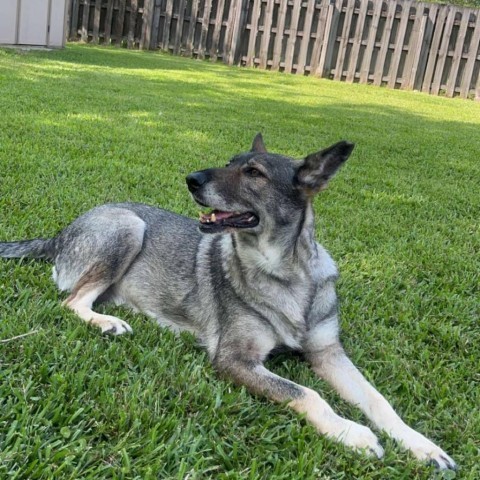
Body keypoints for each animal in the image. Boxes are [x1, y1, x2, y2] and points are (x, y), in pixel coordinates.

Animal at [0, 134, 456, 468]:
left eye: (253, 172)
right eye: (229, 161)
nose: (191, 179)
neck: (285, 273)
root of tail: (61, 233)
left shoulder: (329, 354)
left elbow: (379, 401)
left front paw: (422, 445)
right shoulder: (235, 360)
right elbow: (307, 394)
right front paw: (354, 433)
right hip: (129, 226)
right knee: (72, 301)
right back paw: (107, 323)